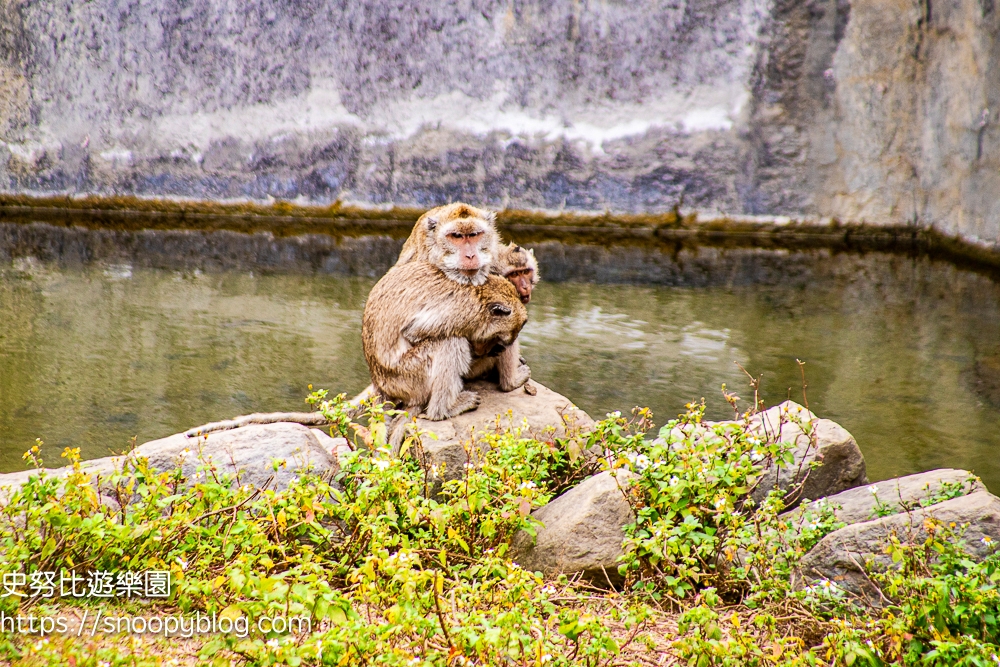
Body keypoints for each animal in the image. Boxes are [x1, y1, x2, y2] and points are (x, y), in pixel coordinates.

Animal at [362, 262, 532, 422]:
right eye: (497, 338)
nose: (493, 348)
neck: (481, 293)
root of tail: (379, 383)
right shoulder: (460, 313)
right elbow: (413, 332)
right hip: (406, 376)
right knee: (451, 342)